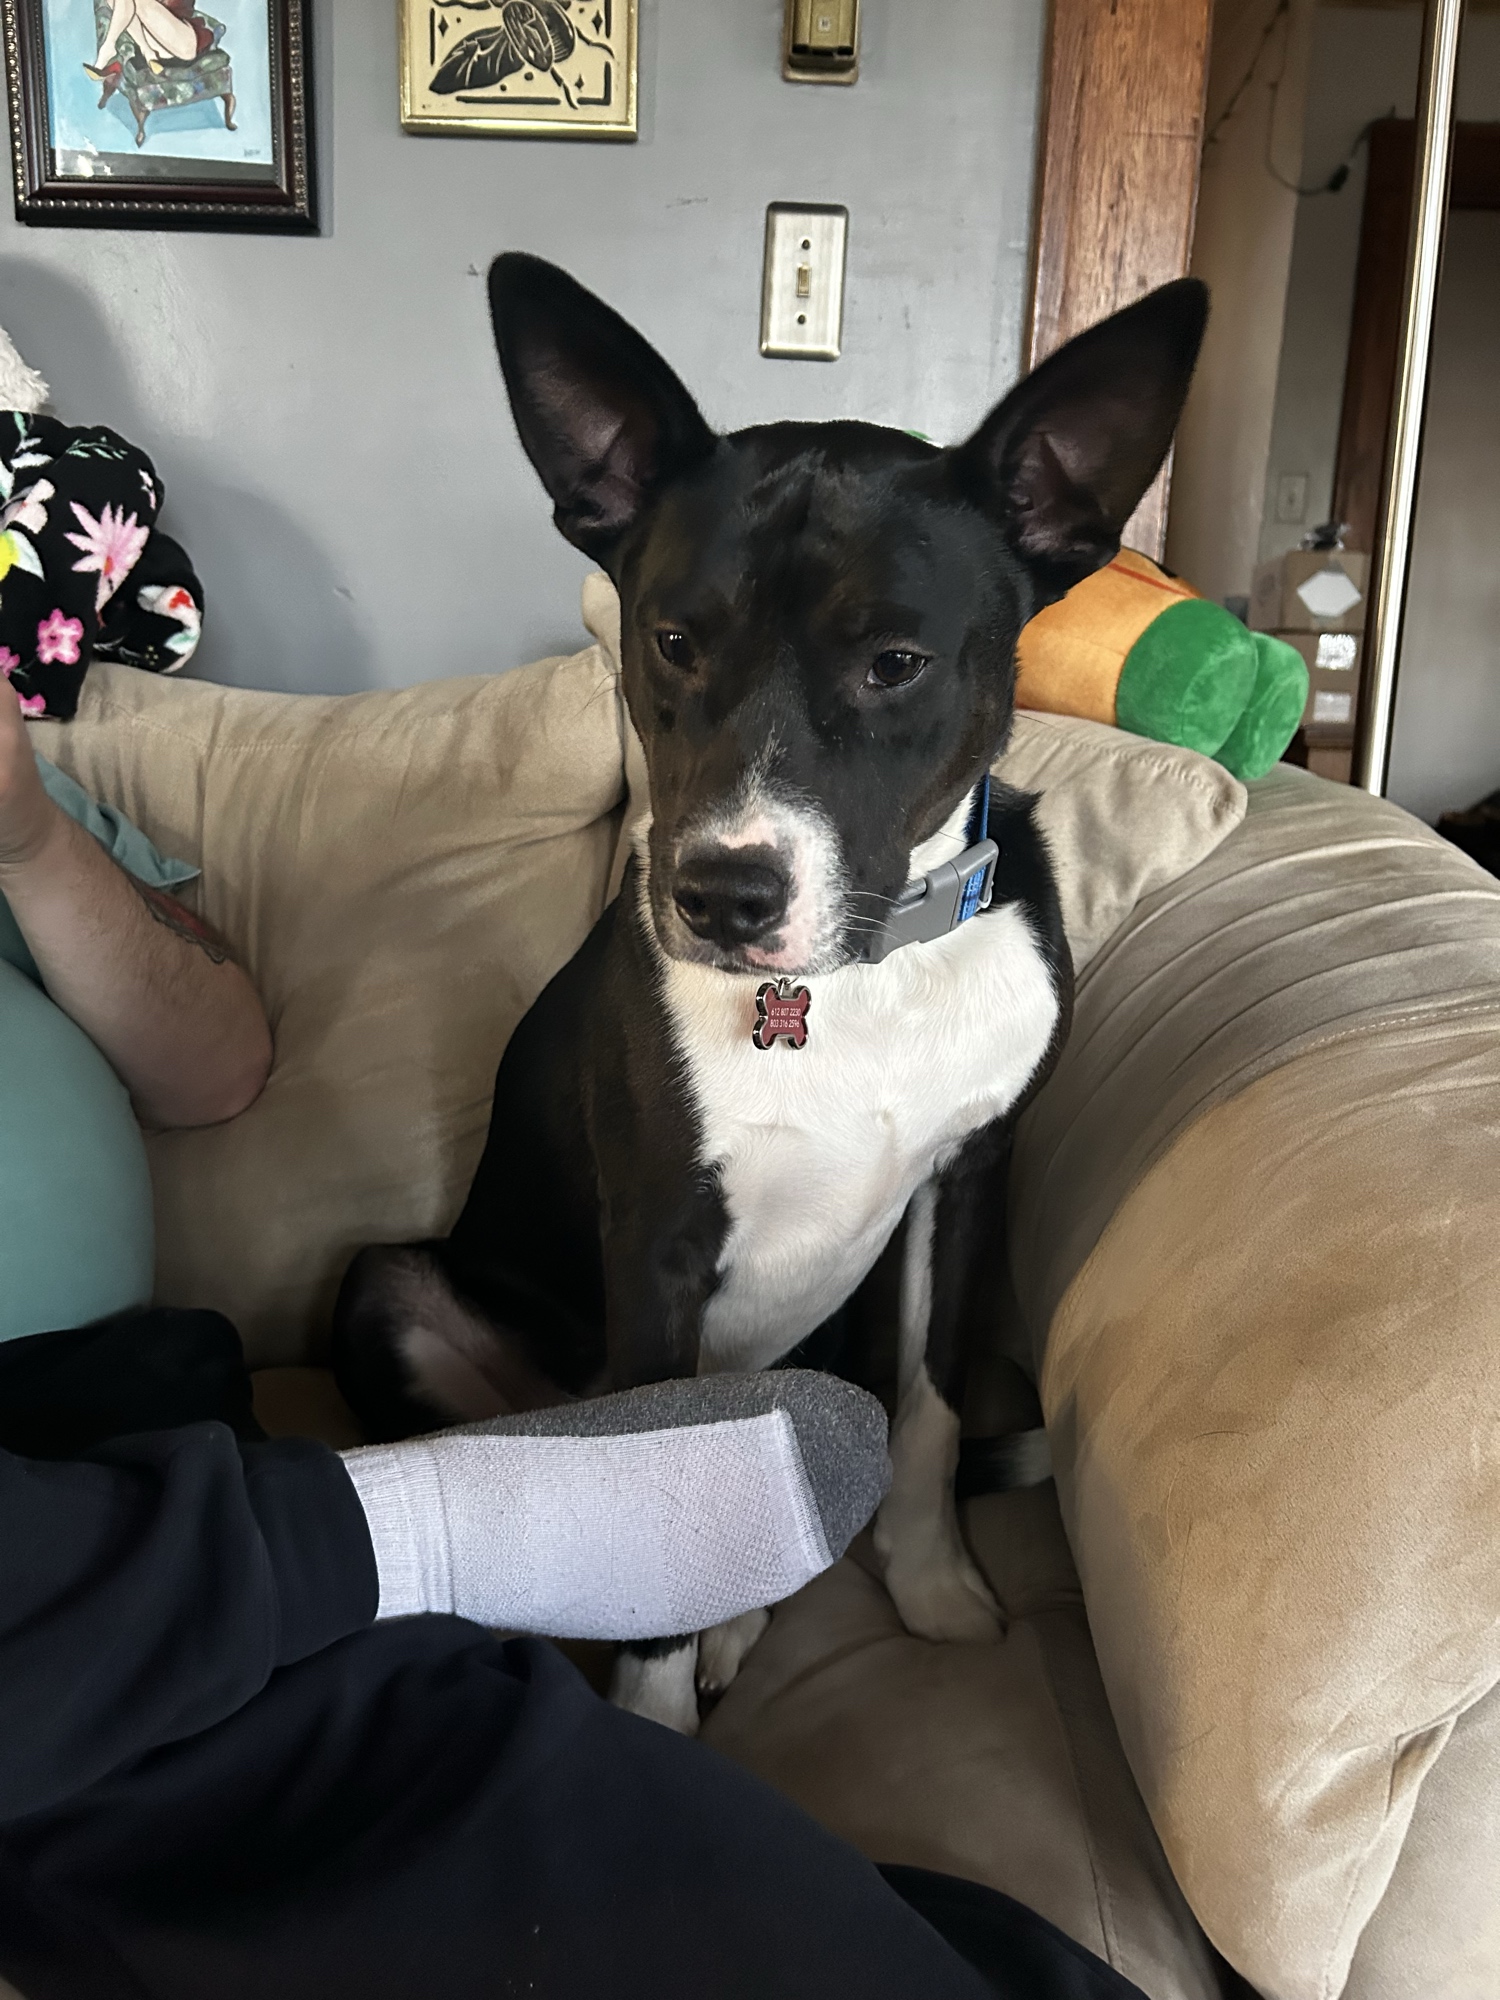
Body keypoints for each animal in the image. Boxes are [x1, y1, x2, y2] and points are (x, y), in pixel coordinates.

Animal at [334, 254, 1207, 1729]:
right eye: (674, 641)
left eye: (895, 661)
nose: (722, 896)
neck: (853, 980)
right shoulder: (659, 1241)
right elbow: (658, 1519)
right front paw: (655, 1722)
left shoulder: (965, 1185)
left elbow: (934, 1411)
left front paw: (934, 1582)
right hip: (398, 1294)